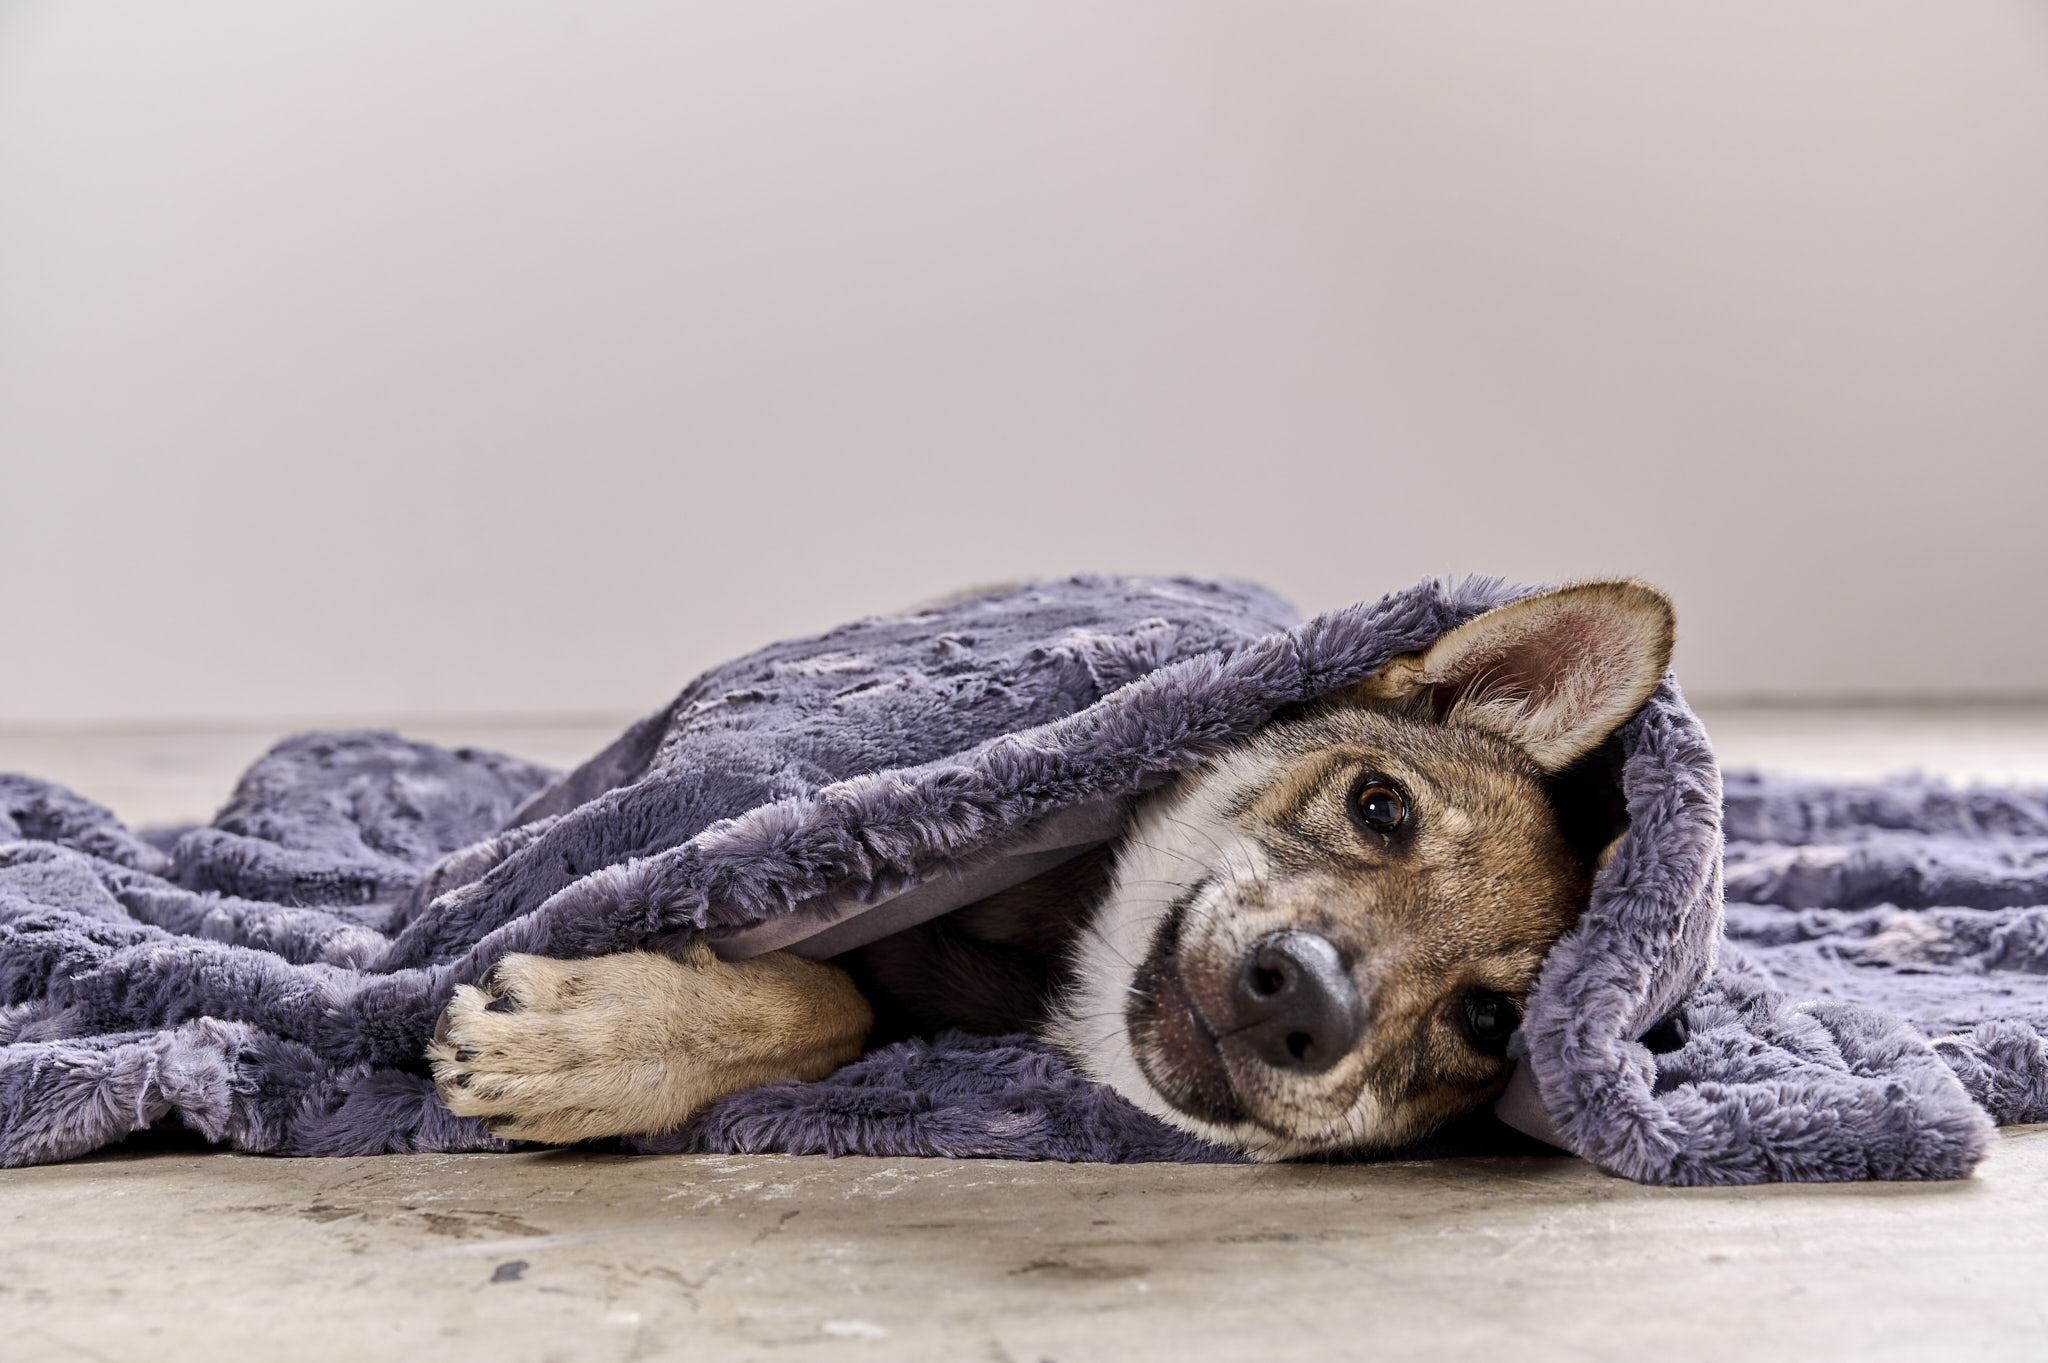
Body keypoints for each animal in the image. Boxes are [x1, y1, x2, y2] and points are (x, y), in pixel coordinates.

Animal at [429, 579, 1674, 1159]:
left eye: (1487, 1022)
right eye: (1380, 806)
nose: (1304, 1004)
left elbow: (839, 1009)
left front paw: (580, 1047)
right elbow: (833, 998)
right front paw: (586, 1041)